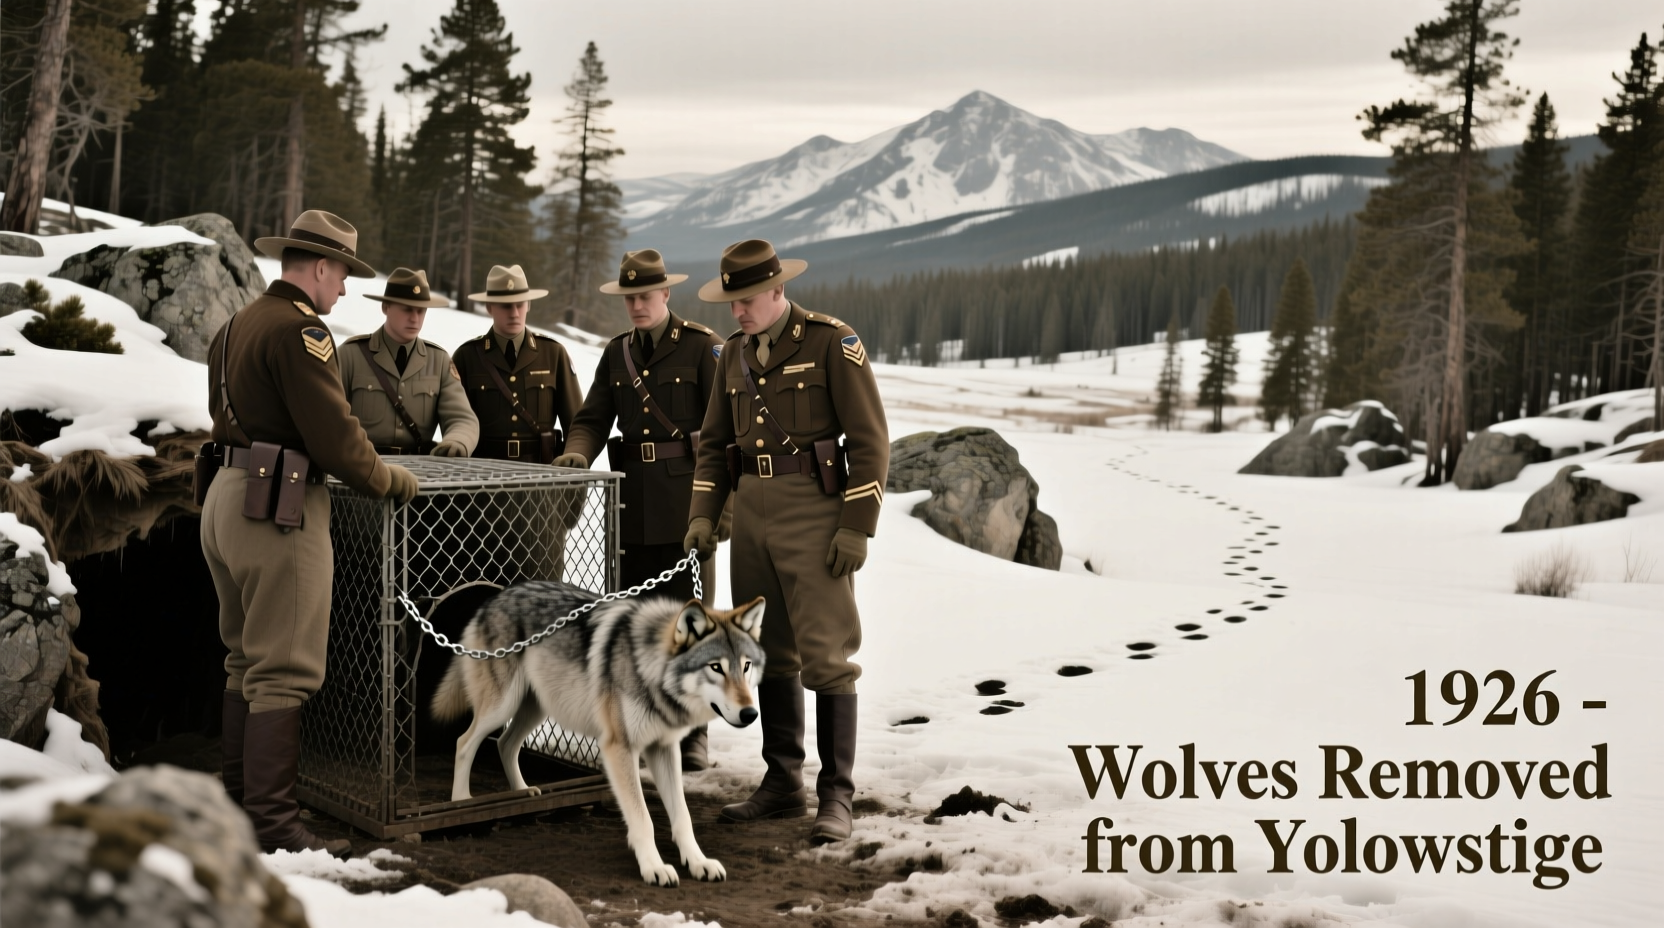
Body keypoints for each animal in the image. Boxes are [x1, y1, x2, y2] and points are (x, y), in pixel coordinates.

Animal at [431, 580, 765, 886]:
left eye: (746, 666)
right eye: (716, 667)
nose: (751, 714)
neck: (650, 669)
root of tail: (496, 596)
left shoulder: (664, 748)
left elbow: (683, 817)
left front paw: (698, 863)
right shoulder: (620, 748)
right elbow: (643, 818)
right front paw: (654, 868)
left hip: (535, 708)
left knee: (505, 743)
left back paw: (522, 792)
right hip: (503, 706)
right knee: (465, 742)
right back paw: (462, 803)